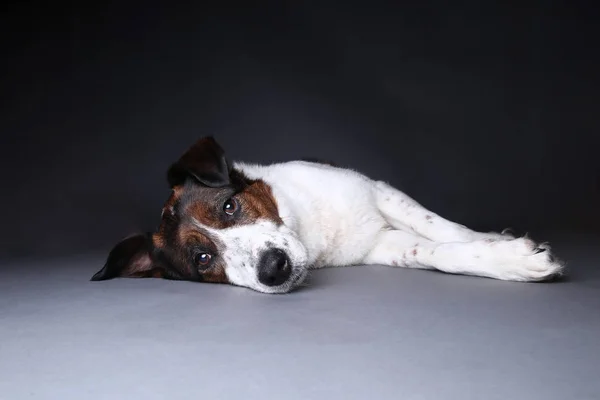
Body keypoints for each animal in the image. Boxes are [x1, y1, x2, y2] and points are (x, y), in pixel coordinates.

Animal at [91, 138, 564, 294]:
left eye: (229, 206)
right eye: (203, 259)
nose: (274, 268)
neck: (310, 232)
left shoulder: (379, 191)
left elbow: (442, 227)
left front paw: (503, 248)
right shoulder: (382, 245)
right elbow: (434, 251)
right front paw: (510, 259)